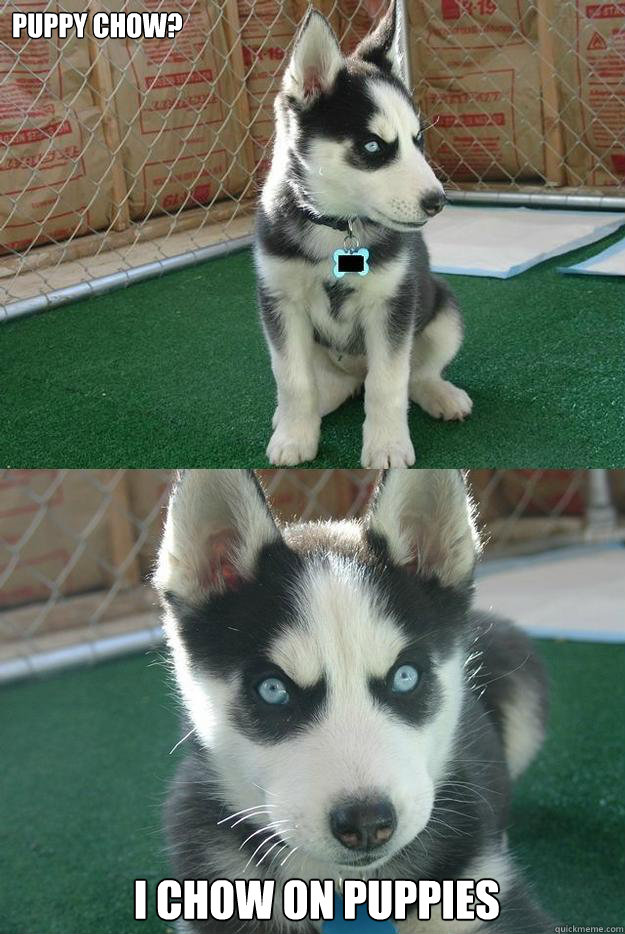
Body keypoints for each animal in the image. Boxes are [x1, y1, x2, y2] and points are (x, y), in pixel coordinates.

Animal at [256, 0, 470, 468]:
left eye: (417, 140)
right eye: (373, 146)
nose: (438, 201)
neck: (338, 226)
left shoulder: (392, 305)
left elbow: (388, 383)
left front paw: (387, 445)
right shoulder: (280, 302)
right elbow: (292, 379)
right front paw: (294, 437)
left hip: (443, 311)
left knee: (414, 375)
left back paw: (440, 394)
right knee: (327, 385)